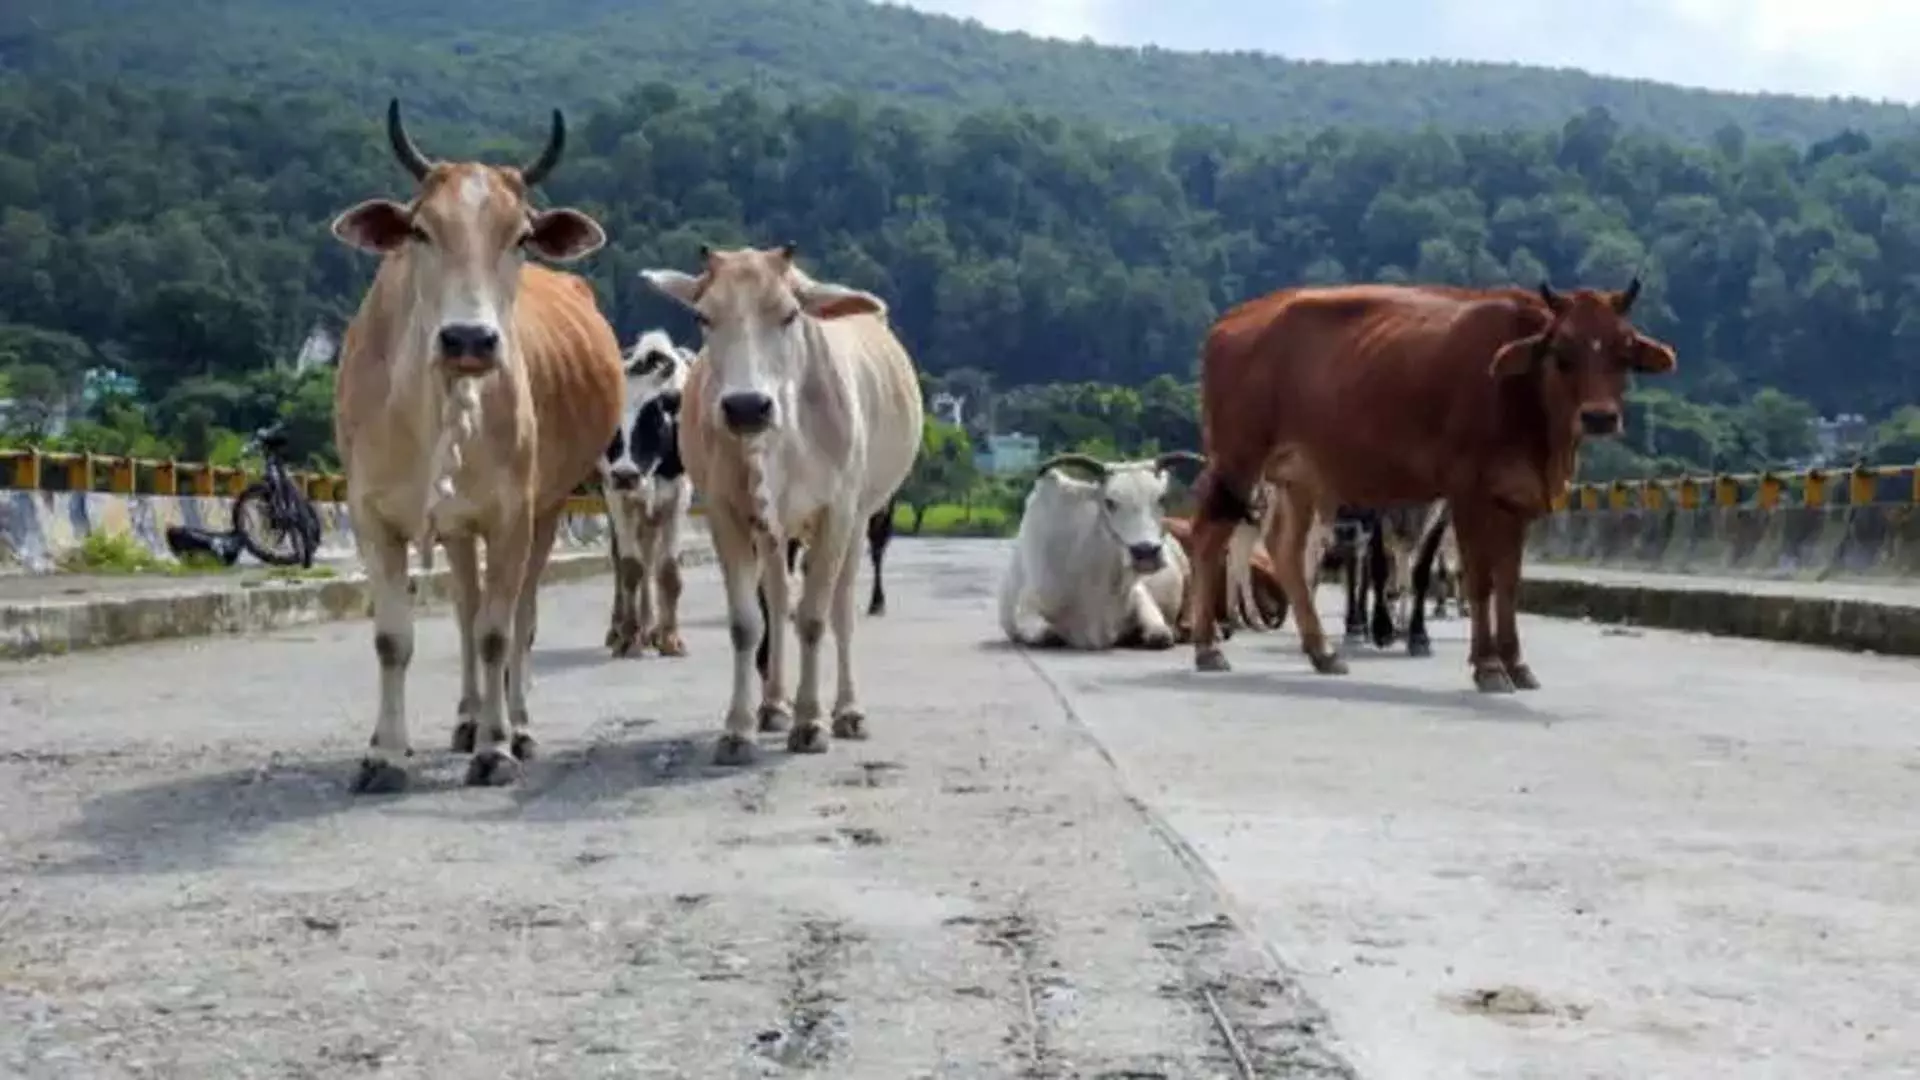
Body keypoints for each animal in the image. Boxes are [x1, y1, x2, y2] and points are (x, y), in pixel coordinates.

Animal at [330, 102, 622, 791]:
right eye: (420, 230)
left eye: (520, 237)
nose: (469, 339)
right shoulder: (372, 516)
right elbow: (394, 638)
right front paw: (385, 753)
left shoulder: (513, 515)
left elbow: (497, 632)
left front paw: (496, 747)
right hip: (459, 526)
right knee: (465, 607)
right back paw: (465, 717)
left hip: (546, 510)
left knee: (518, 617)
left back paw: (514, 724)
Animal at [599, 328, 698, 653]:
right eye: (612, 421)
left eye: (653, 418)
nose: (626, 474)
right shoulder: (616, 495)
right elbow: (631, 567)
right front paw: (628, 635)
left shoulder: (678, 496)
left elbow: (667, 570)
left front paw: (669, 637)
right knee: (627, 559)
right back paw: (626, 628)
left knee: (651, 554)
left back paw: (650, 628)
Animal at [637, 244, 921, 764]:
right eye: (704, 316)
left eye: (790, 314)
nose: (747, 406)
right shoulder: (727, 514)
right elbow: (747, 623)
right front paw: (739, 728)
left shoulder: (838, 513)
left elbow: (813, 618)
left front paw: (811, 723)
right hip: (773, 532)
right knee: (778, 594)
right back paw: (772, 705)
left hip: (860, 518)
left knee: (841, 607)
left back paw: (847, 711)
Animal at [1006, 447, 1198, 645]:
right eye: (1109, 501)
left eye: (1162, 498)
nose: (1146, 552)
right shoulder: (1027, 608)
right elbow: (1049, 634)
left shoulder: (1139, 594)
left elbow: (1160, 634)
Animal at [1182, 272, 1681, 684]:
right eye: (1562, 352)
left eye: (1623, 350)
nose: (1599, 416)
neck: (1523, 395)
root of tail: (1231, 321)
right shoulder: (1467, 493)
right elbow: (1479, 580)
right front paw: (1488, 666)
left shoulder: (1515, 499)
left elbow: (1508, 583)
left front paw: (1517, 663)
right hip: (1237, 458)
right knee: (1209, 537)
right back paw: (1208, 646)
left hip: (1299, 477)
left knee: (1286, 550)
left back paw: (1321, 651)